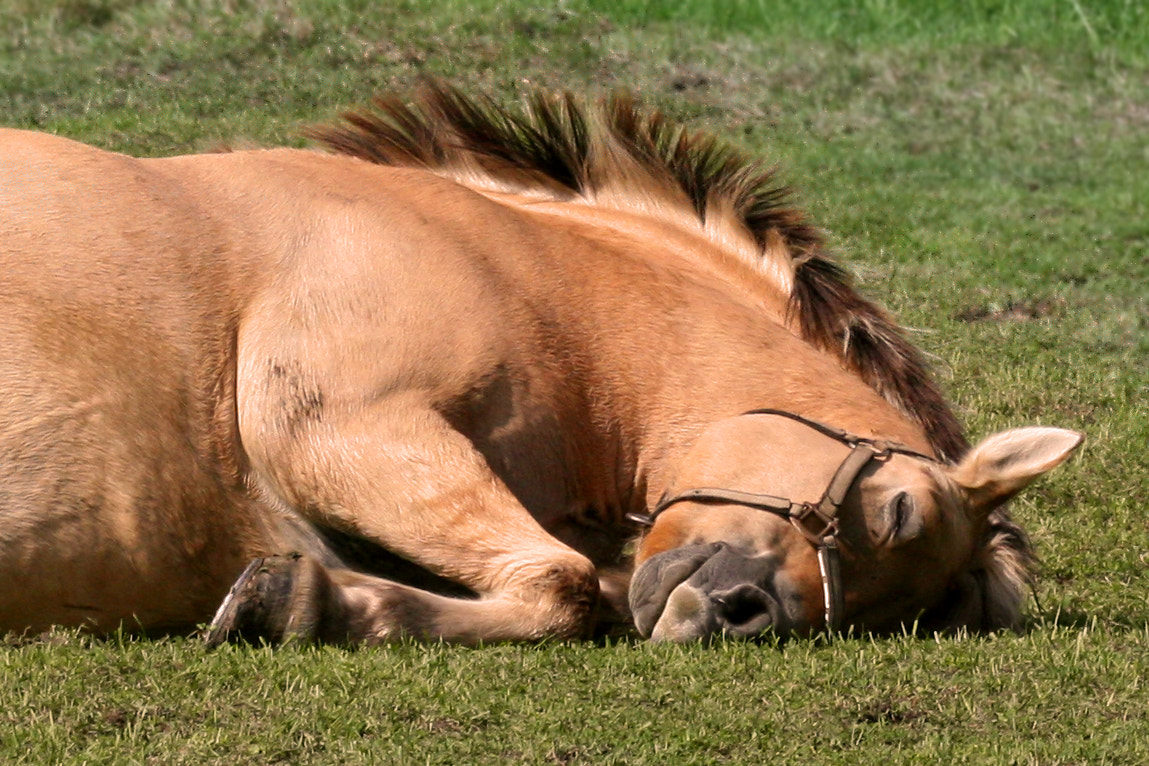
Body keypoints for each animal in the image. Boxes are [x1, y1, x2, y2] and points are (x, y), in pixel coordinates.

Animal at [0, 83, 1080, 643]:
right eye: (899, 514)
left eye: (889, 614)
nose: (744, 614)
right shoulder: (337, 426)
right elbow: (560, 586)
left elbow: (566, 589)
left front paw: (320, 600)